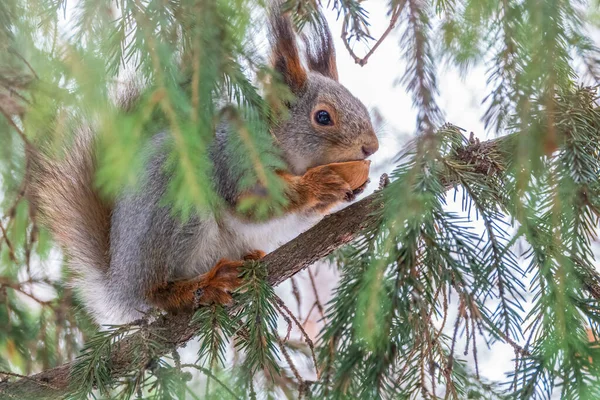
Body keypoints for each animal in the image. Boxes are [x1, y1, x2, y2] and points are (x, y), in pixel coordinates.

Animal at [28, 6, 378, 324]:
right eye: (323, 117)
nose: (371, 147)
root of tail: (120, 283)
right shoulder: (234, 162)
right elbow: (254, 203)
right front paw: (319, 183)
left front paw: (351, 188)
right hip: (179, 209)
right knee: (156, 292)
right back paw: (199, 287)